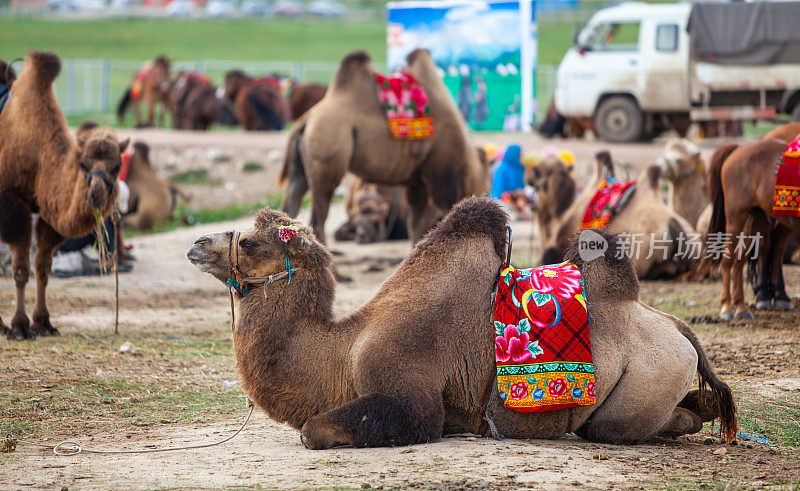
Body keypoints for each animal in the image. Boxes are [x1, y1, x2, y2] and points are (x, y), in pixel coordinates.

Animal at [0, 52, 127, 340]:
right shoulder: (12, 202)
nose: (96, 195)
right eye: (83, 164)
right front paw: (19, 326)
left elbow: (43, 268)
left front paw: (43, 323)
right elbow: (21, 269)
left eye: (117, 166)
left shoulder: (48, 214)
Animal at [188, 196, 736, 450]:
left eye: (250, 243)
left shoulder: (408, 391)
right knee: (696, 406)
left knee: (617, 426)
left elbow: (313, 430)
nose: (195, 244)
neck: (342, 352)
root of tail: (679, 328)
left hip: (643, 383)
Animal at [280, 49, 488, 242]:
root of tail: (305, 121)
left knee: (293, 198)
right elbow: (446, 213)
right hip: (327, 154)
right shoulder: (442, 171)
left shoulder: (417, 180)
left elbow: (416, 224)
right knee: (319, 214)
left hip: (301, 164)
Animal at [708, 124, 800, 320]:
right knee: (730, 258)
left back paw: (744, 307)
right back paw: (727, 308)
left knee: (746, 257)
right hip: (736, 216)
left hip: (757, 216)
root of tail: (739, 148)